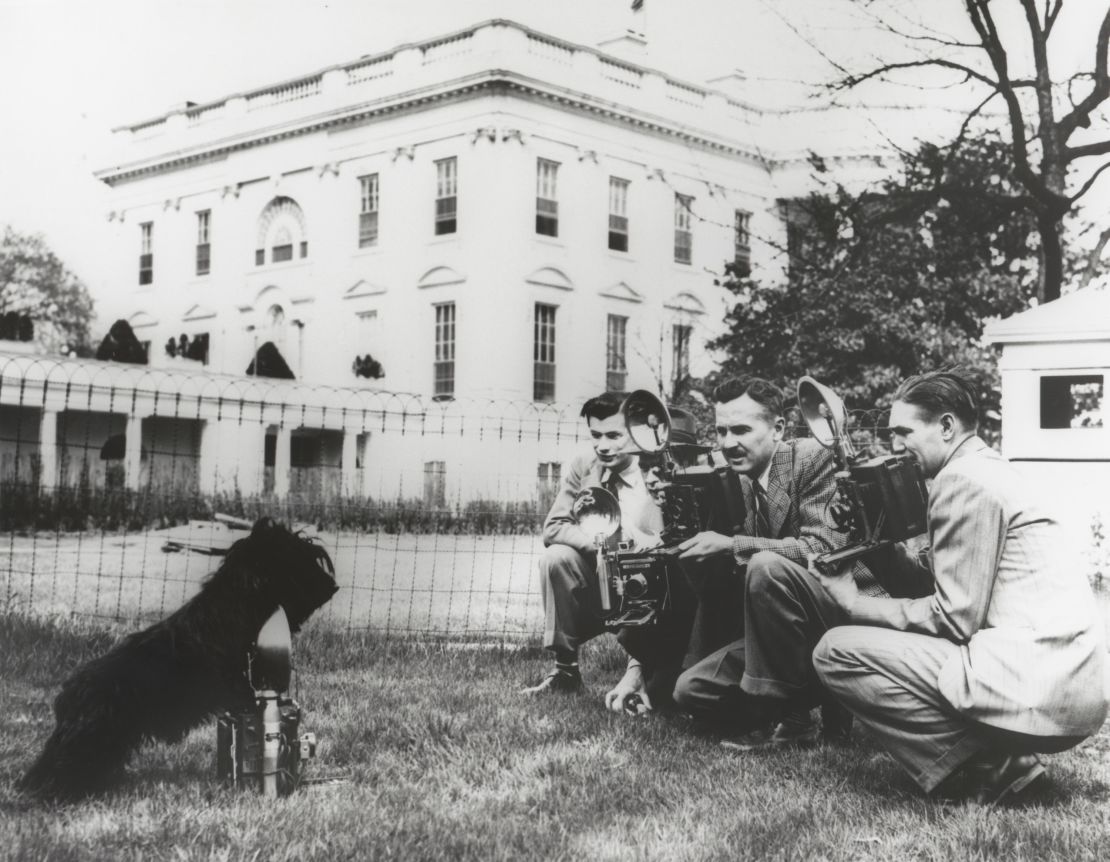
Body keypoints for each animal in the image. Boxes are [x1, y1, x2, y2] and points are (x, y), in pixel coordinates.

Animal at [18, 510, 337, 798]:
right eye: (298, 562)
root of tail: (69, 692)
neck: (233, 611)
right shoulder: (236, 686)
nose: (333, 587)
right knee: (57, 764)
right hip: (90, 737)